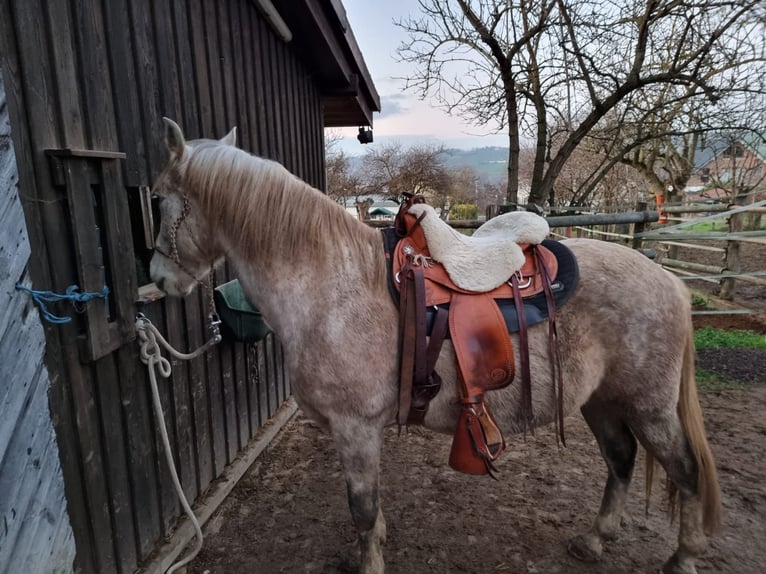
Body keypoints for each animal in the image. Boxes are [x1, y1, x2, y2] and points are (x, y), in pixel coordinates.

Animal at [149, 118, 720, 574]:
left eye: (156, 200)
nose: (157, 278)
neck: (330, 285)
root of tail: (669, 281)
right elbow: (370, 512)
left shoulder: (355, 429)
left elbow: (361, 509)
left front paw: (370, 563)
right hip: (602, 400)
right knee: (621, 459)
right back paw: (595, 540)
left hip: (649, 407)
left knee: (686, 470)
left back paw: (684, 557)